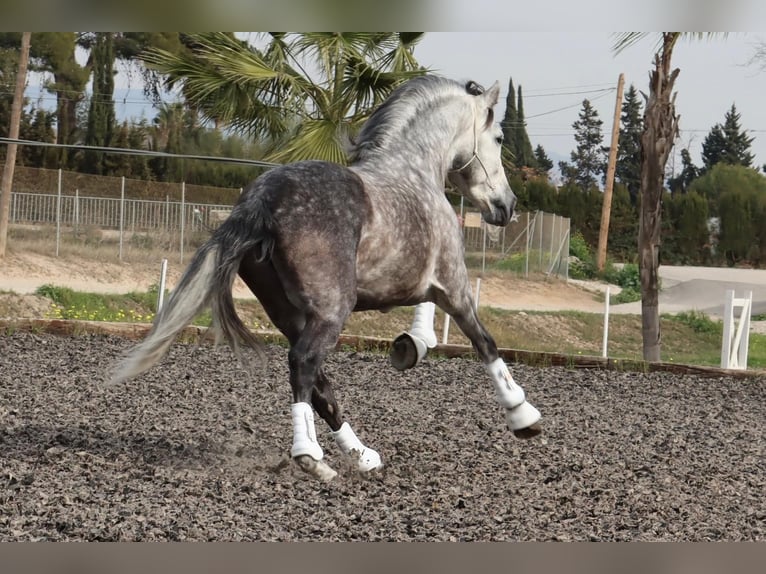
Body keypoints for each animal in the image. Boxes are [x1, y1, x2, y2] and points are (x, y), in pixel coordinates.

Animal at [111, 75, 544, 482]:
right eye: (499, 137)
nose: (507, 206)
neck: (413, 170)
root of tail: (260, 202)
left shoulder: (423, 285)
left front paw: (413, 346)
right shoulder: (452, 286)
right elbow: (484, 342)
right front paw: (523, 417)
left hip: (291, 315)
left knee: (319, 382)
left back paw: (361, 455)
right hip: (332, 310)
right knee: (304, 365)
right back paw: (311, 457)